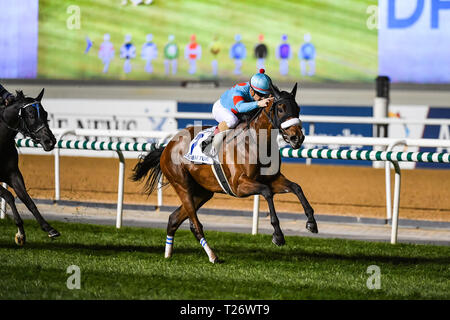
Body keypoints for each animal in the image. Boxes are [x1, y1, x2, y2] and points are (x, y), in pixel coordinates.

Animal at [0, 89, 59, 245]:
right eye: (31, 115)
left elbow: (27, 200)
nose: (50, 141)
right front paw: (20, 232)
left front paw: (48, 228)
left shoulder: (13, 174)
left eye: (45, 114)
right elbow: (9, 195)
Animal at [132, 82, 318, 262]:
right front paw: (278, 235)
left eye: (298, 108)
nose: (297, 138)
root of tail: (167, 147)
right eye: (280, 109)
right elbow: (266, 192)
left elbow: (296, 187)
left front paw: (311, 223)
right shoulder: (239, 186)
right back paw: (212, 256)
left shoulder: (273, 179)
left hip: (202, 192)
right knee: (196, 225)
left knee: (174, 219)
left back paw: (168, 255)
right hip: (182, 185)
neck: (256, 142)